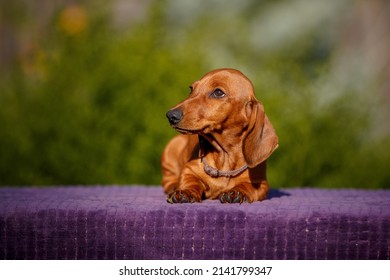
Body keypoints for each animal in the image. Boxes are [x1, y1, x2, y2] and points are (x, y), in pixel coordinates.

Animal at [161, 68, 278, 203]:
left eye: (218, 92)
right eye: (191, 89)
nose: (171, 115)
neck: (224, 157)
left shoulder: (261, 184)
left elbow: (248, 186)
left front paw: (237, 192)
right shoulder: (189, 170)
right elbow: (189, 180)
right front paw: (185, 191)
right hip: (171, 149)